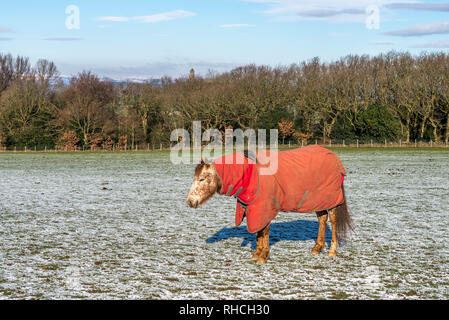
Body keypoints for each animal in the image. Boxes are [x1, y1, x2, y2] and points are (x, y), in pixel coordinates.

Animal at [185, 146, 350, 264]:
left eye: (201, 179)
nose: (190, 202)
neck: (250, 174)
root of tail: (334, 158)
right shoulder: (254, 208)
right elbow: (259, 231)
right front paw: (257, 254)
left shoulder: (264, 207)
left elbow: (264, 231)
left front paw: (263, 256)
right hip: (318, 201)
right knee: (322, 220)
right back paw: (317, 248)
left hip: (331, 201)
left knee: (333, 221)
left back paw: (332, 251)